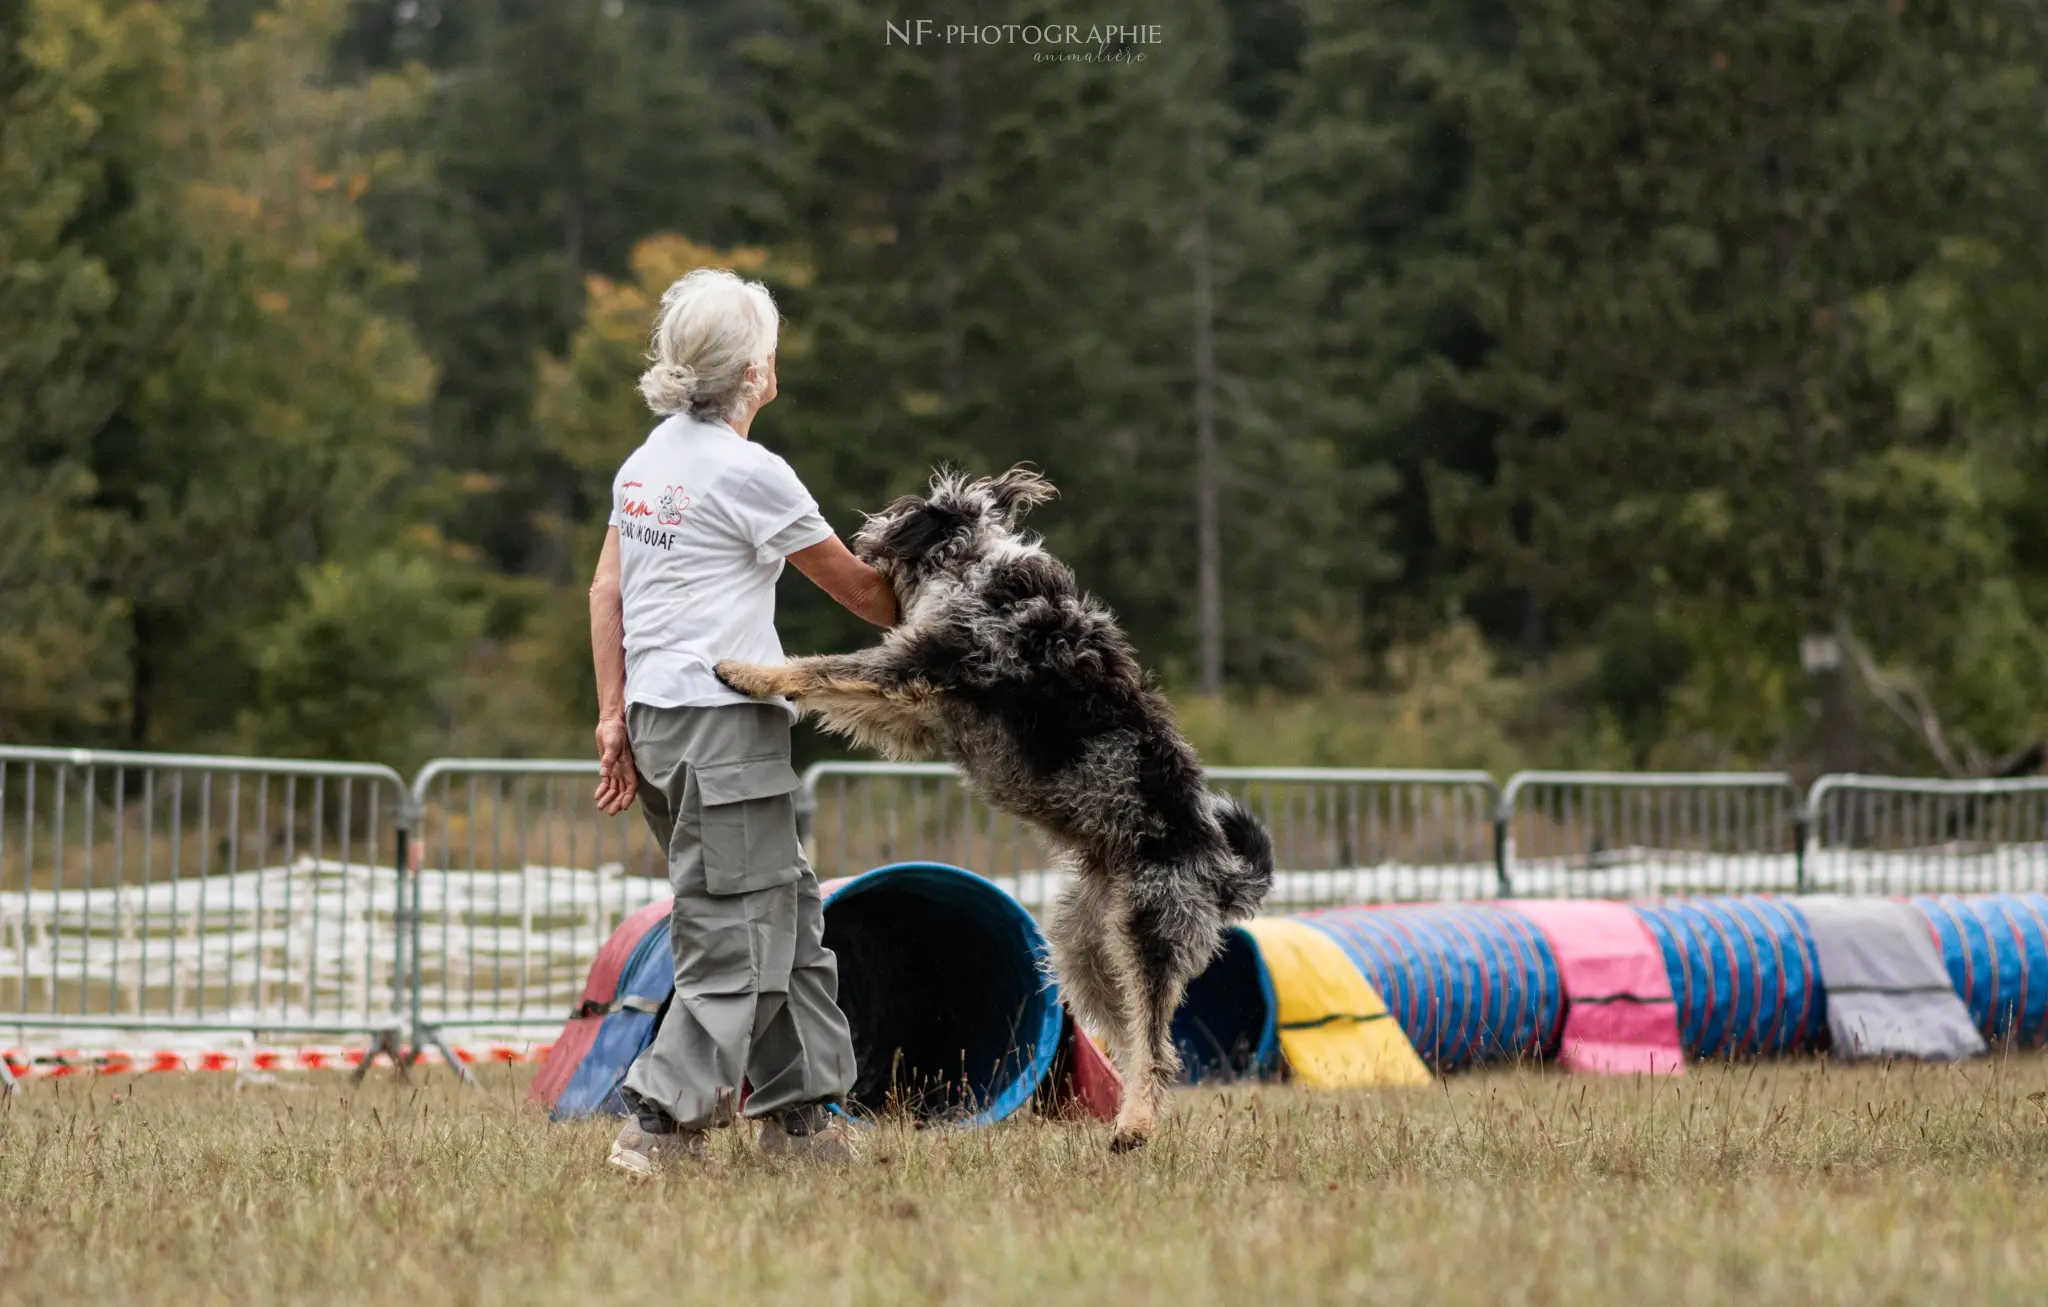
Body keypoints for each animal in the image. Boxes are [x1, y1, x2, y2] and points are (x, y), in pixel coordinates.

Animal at [712, 467, 1269, 1155]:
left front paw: (747, 673)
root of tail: (1219, 871)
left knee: (1159, 1051)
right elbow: (839, 688)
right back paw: (1124, 1115)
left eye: (909, 510)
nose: (865, 531)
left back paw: (1132, 1128)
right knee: (1139, 1041)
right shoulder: (921, 713)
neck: (973, 567)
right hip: (1085, 948)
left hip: (1149, 934)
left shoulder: (915, 664)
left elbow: (820, 668)